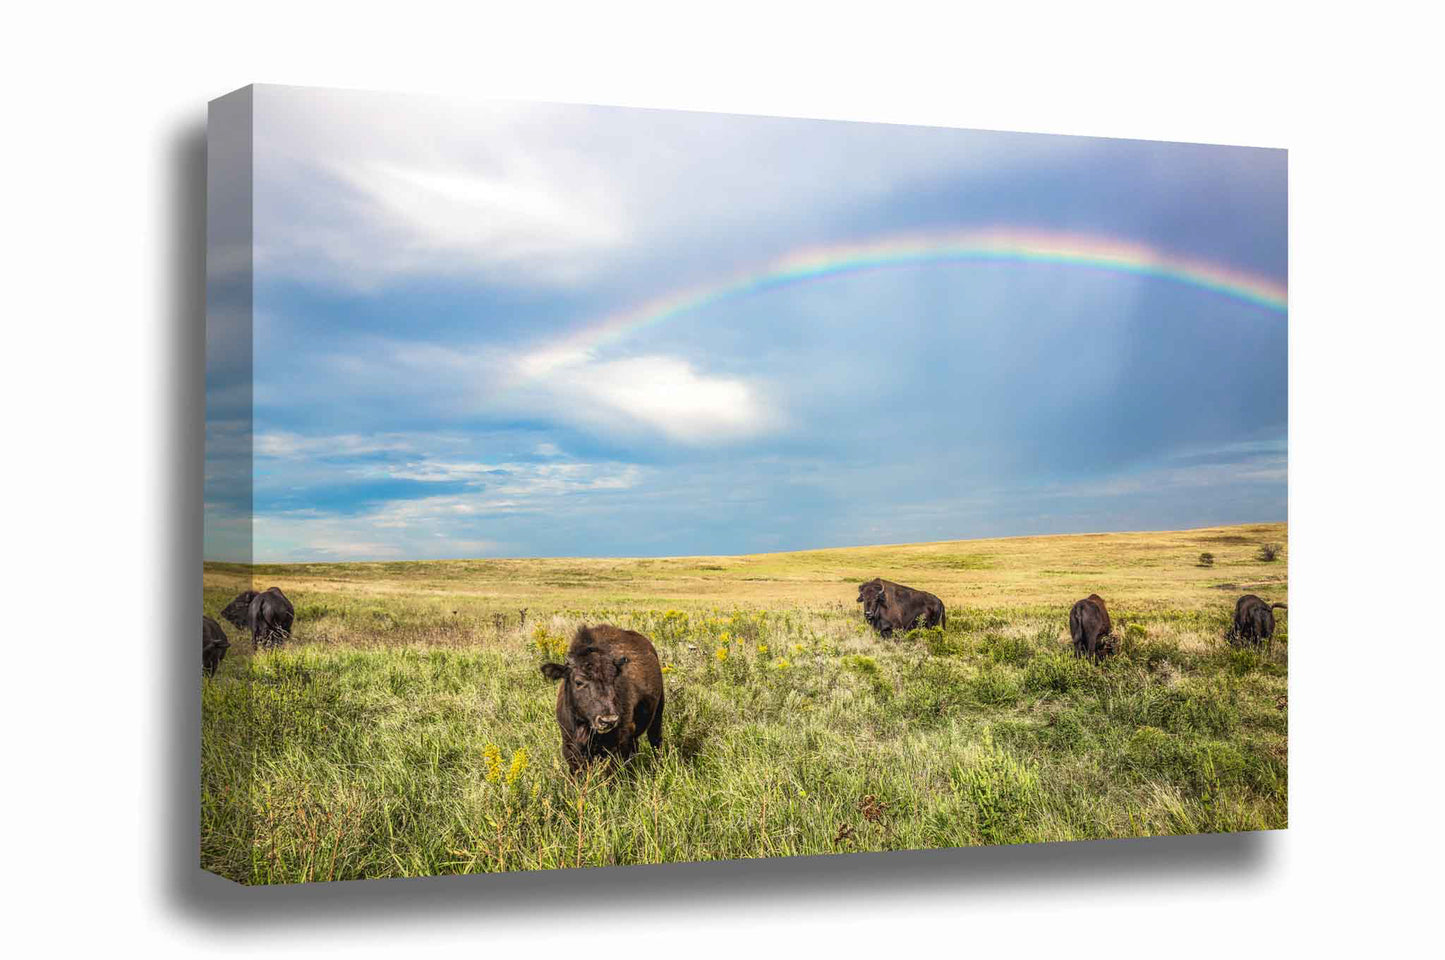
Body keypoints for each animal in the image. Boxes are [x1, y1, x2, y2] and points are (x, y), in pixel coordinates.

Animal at [543, 621, 664, 774]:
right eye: (578, 682)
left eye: (613, 679)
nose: (608, 720)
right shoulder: (570, 747)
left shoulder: (616, 747)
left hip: (657, 715)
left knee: (655, 741)